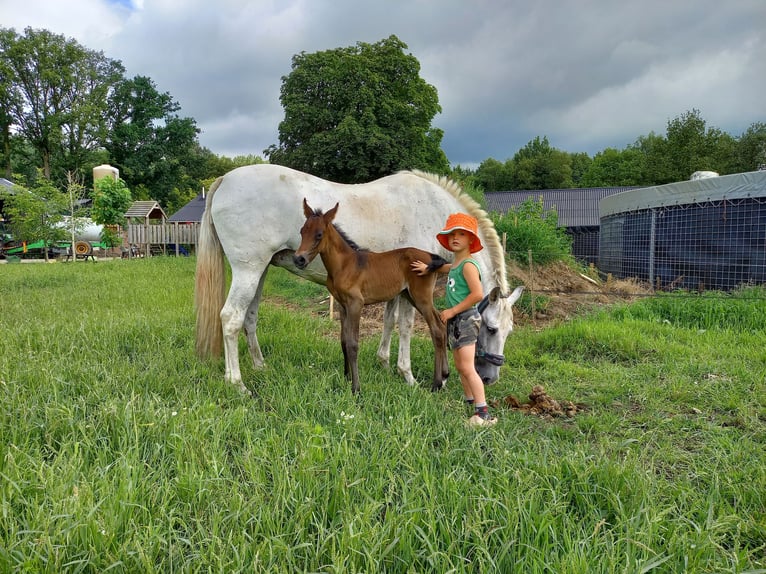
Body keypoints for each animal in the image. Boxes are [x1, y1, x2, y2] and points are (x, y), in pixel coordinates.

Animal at [195, 164, 524, 394]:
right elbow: (406, 326)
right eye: (491, 328)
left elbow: (389, 322)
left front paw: (384, 362)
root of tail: (225, 180)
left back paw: (260, 367)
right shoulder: (413, 287)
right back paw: (237, 383)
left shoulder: (396, 288)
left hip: (260, 270)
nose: (489, 378)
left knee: (249, 317)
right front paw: (407, 375)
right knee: (231, 318)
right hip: (248, 269)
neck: (431, 208)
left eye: (509, 331)